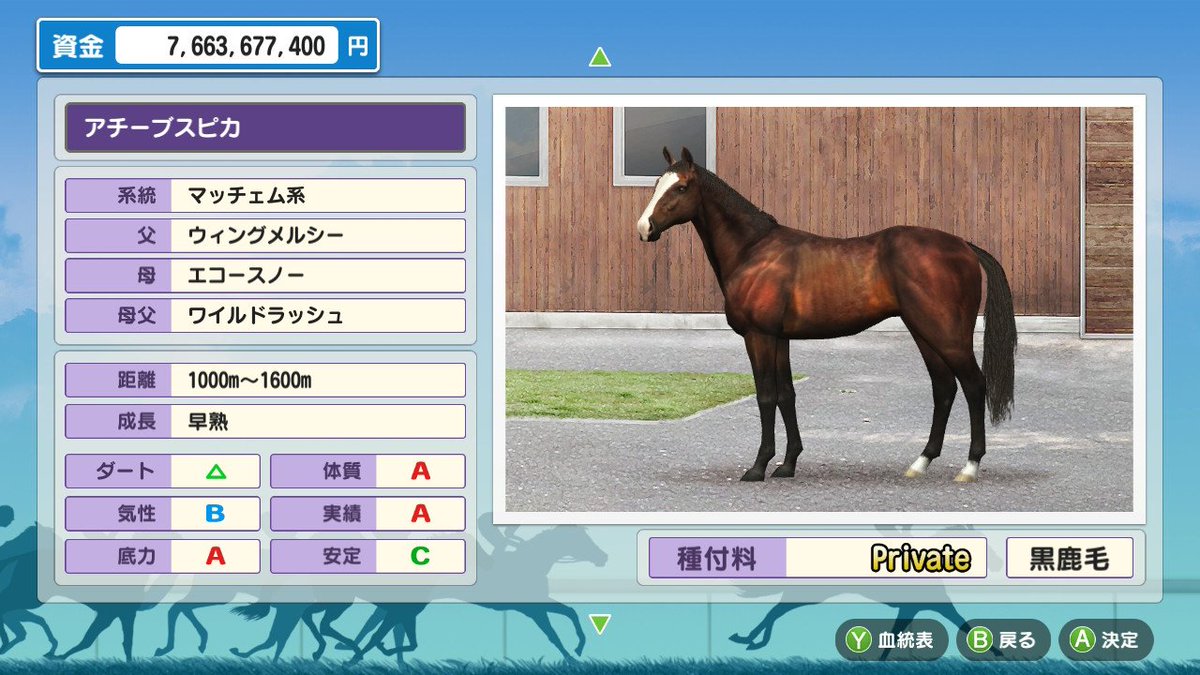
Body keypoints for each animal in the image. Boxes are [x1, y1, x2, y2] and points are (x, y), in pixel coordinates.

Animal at [637, 147, 1017, 483]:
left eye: (681, 187)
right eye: (657, 184)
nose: (644, 227)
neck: (753, 251)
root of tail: (964, 246)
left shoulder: (760, 337)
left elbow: (766, 397)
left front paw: (758, 467)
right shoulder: (780, 339)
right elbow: (786, 396)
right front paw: (788, 464)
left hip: (947, 335)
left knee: (973, 385)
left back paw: (970, 466)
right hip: (923, 332)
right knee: (944, 387)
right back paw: (921, 462)